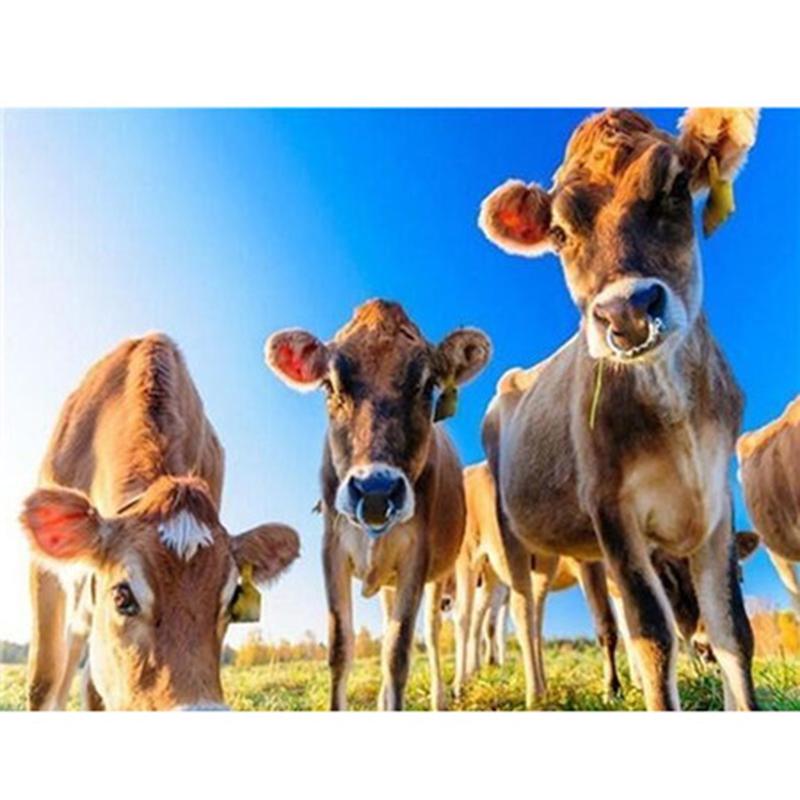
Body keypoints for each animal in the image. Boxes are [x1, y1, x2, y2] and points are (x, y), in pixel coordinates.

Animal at [265, 299, 491, 710]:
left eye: (428, 385)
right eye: (329, 385)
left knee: (433, 632)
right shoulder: (332, 549)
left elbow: (398, 652)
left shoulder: (417, 556)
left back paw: (441, 697)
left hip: (441, 571)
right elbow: (341, 647)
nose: (375, 489)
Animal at [478, 108, 759, 710]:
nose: (627, 310)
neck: (675, 411)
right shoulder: (611, 508)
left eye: (675, 188)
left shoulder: (717, 499)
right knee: (523, 608)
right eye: (559, 232)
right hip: (510, 527)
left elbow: (733, 633)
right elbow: (651, 635)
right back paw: (536, 693)